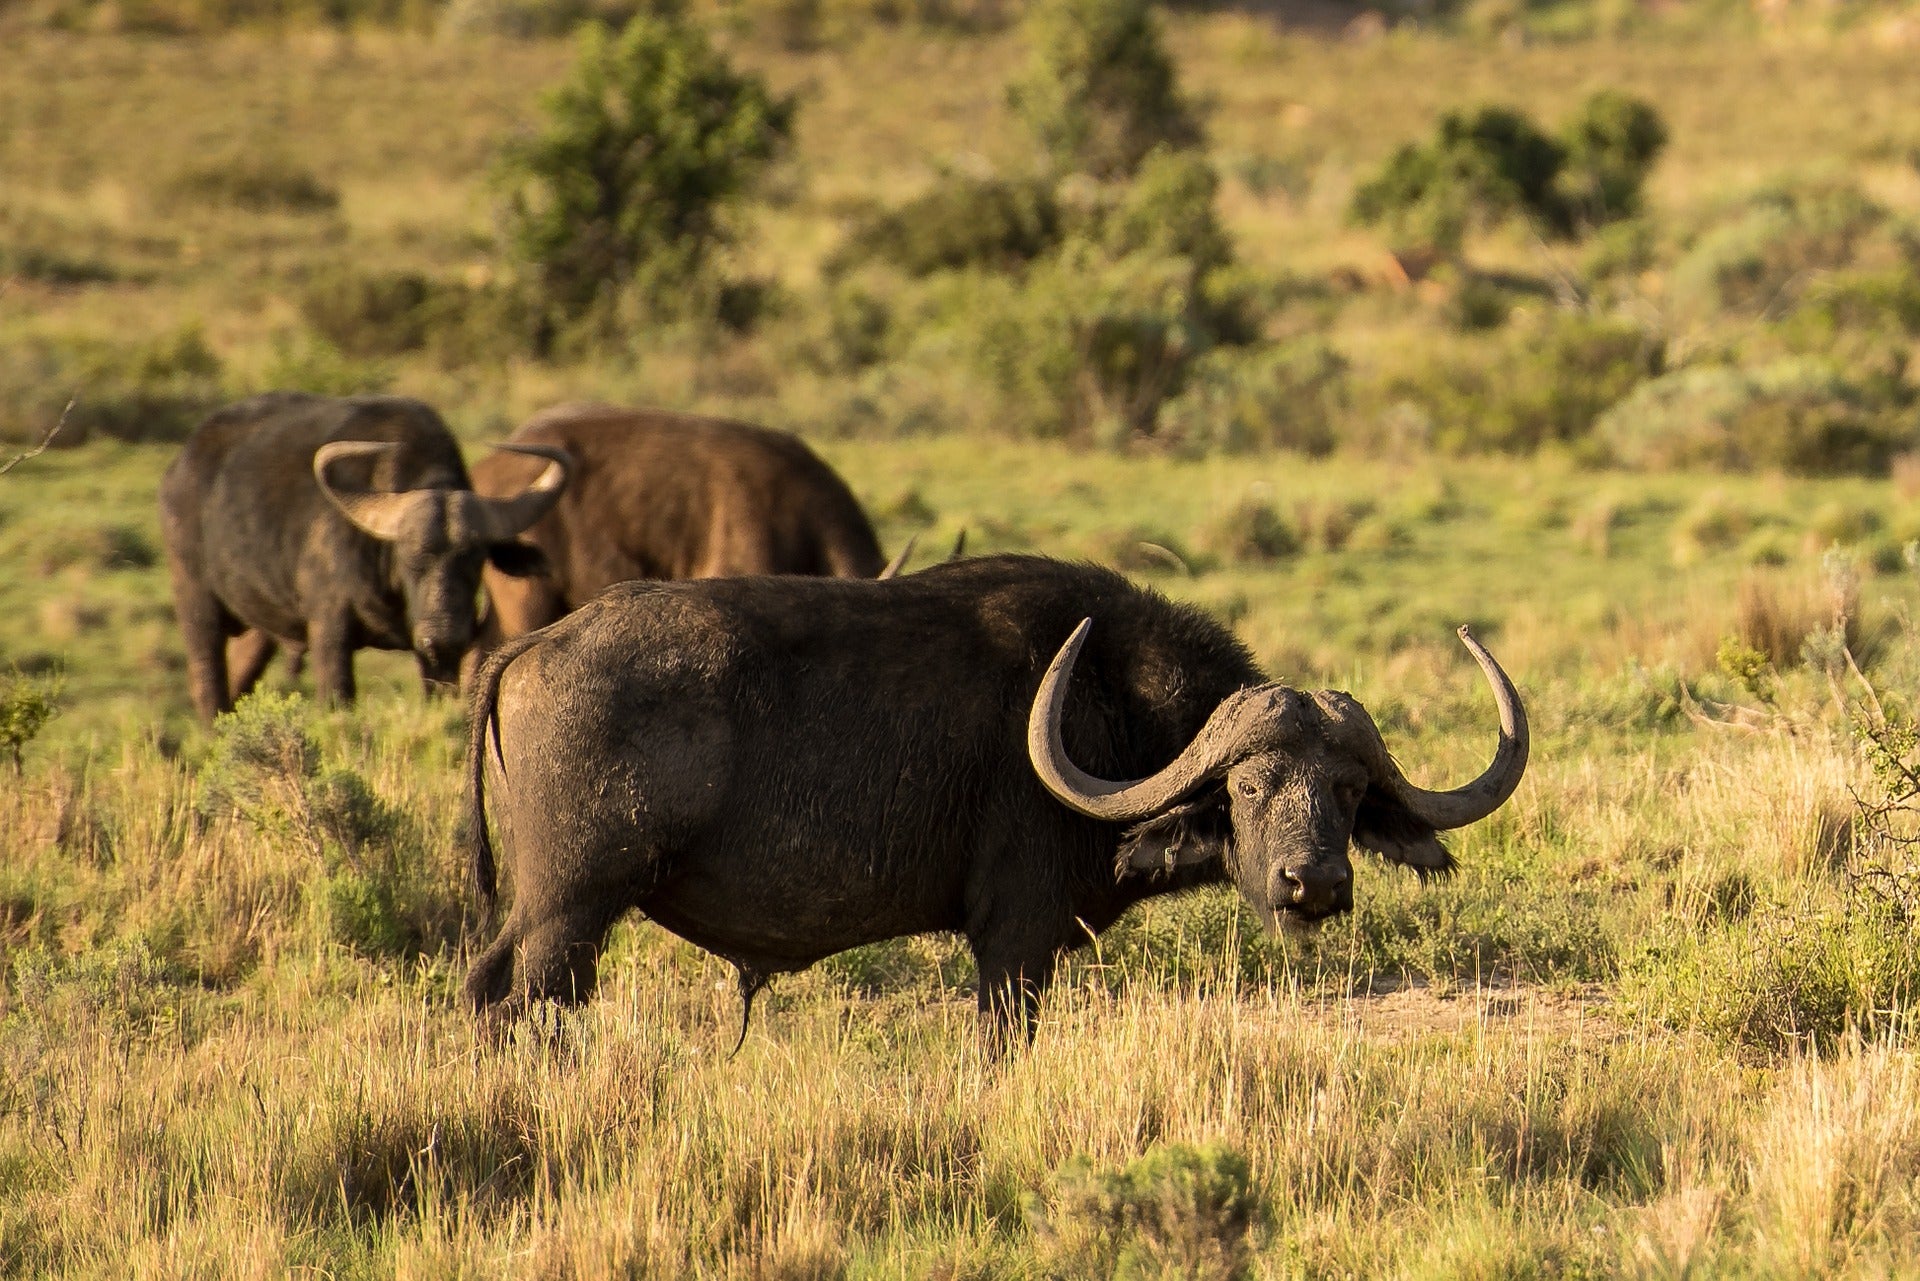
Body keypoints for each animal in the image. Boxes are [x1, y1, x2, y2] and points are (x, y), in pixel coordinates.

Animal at [161, 393, 564, 722]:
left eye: (475, 559)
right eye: (410, 557)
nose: (443, 635)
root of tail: (180, 466)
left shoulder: (438, 660)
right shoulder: (329, 631)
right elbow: (337, 698)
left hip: (259, 623)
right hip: (196, 602)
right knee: (207, 681)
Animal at [464, 556, 1528, 1044]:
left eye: (1347, 790)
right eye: (1252, 783)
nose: (1315, 885)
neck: (1106, 707)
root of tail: (534, 645)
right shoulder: (1015, 943)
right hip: (569, 912)